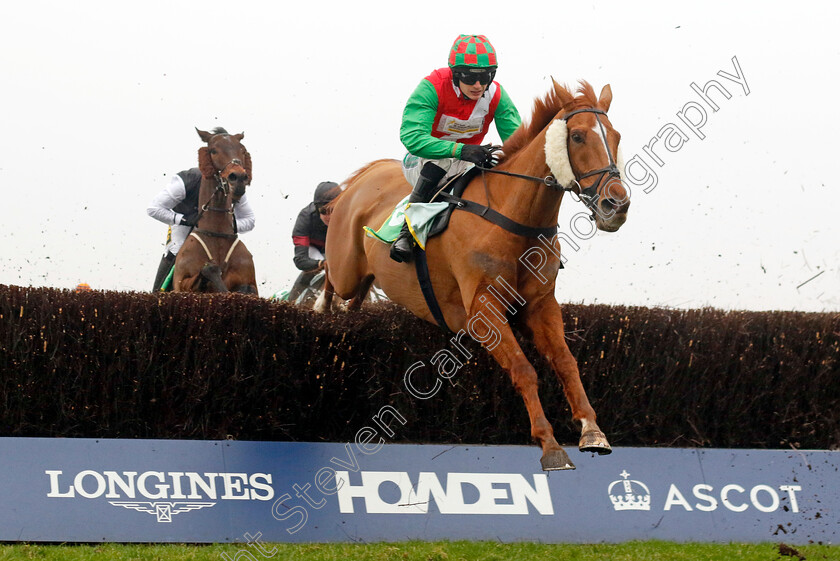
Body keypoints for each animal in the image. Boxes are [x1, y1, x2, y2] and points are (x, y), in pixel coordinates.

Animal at [172, 127, 258, 294]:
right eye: (213, 151)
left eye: (242, 150)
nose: (238, 177)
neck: (217, 235)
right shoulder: (181, 282)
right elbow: (208, 269)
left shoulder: (250, 281)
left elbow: (245, 288)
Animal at [320, 82, 632, 468]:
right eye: (576, 136)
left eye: (616, 137)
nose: (616, 205)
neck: (513, 218)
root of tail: (366, 177)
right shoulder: (483, 310)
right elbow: (524, 369)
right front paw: (550, 445)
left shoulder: (540, 304)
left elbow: (565, 362)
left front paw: (592, 430)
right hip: (345, 267)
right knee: (328, 274)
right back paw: (320, 308)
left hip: (364, 278)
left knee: (357, 296)